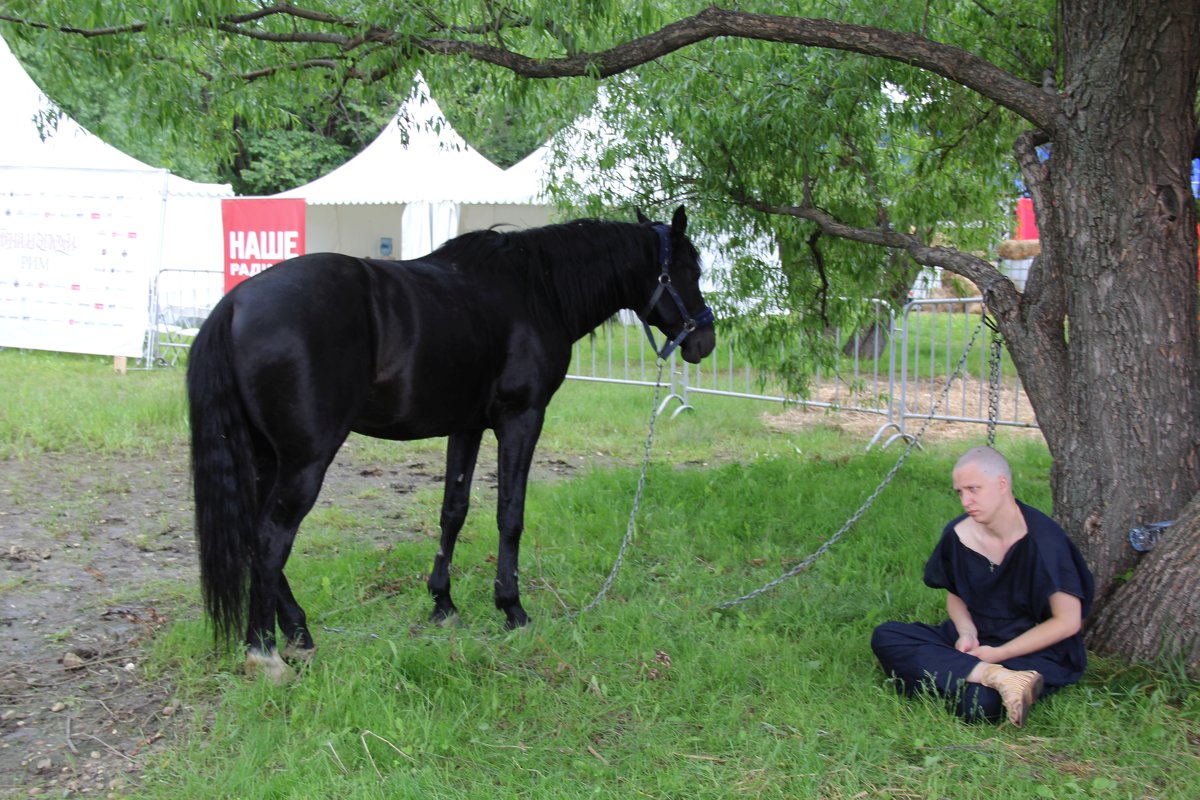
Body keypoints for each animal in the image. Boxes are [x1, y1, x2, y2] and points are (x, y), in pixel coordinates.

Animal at [187, 206, 710, 681]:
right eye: (691, 270)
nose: (704, 339)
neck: (536, 290)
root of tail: (233, 305)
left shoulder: (467, 426)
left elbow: (453, 510)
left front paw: (443, 602)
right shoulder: (521, 419)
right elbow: (510, 514)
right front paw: (512, 609)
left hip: (267, 456)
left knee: (256, 536)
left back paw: (299, 634)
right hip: (304, 459)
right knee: (270, 537)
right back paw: (265, 653)